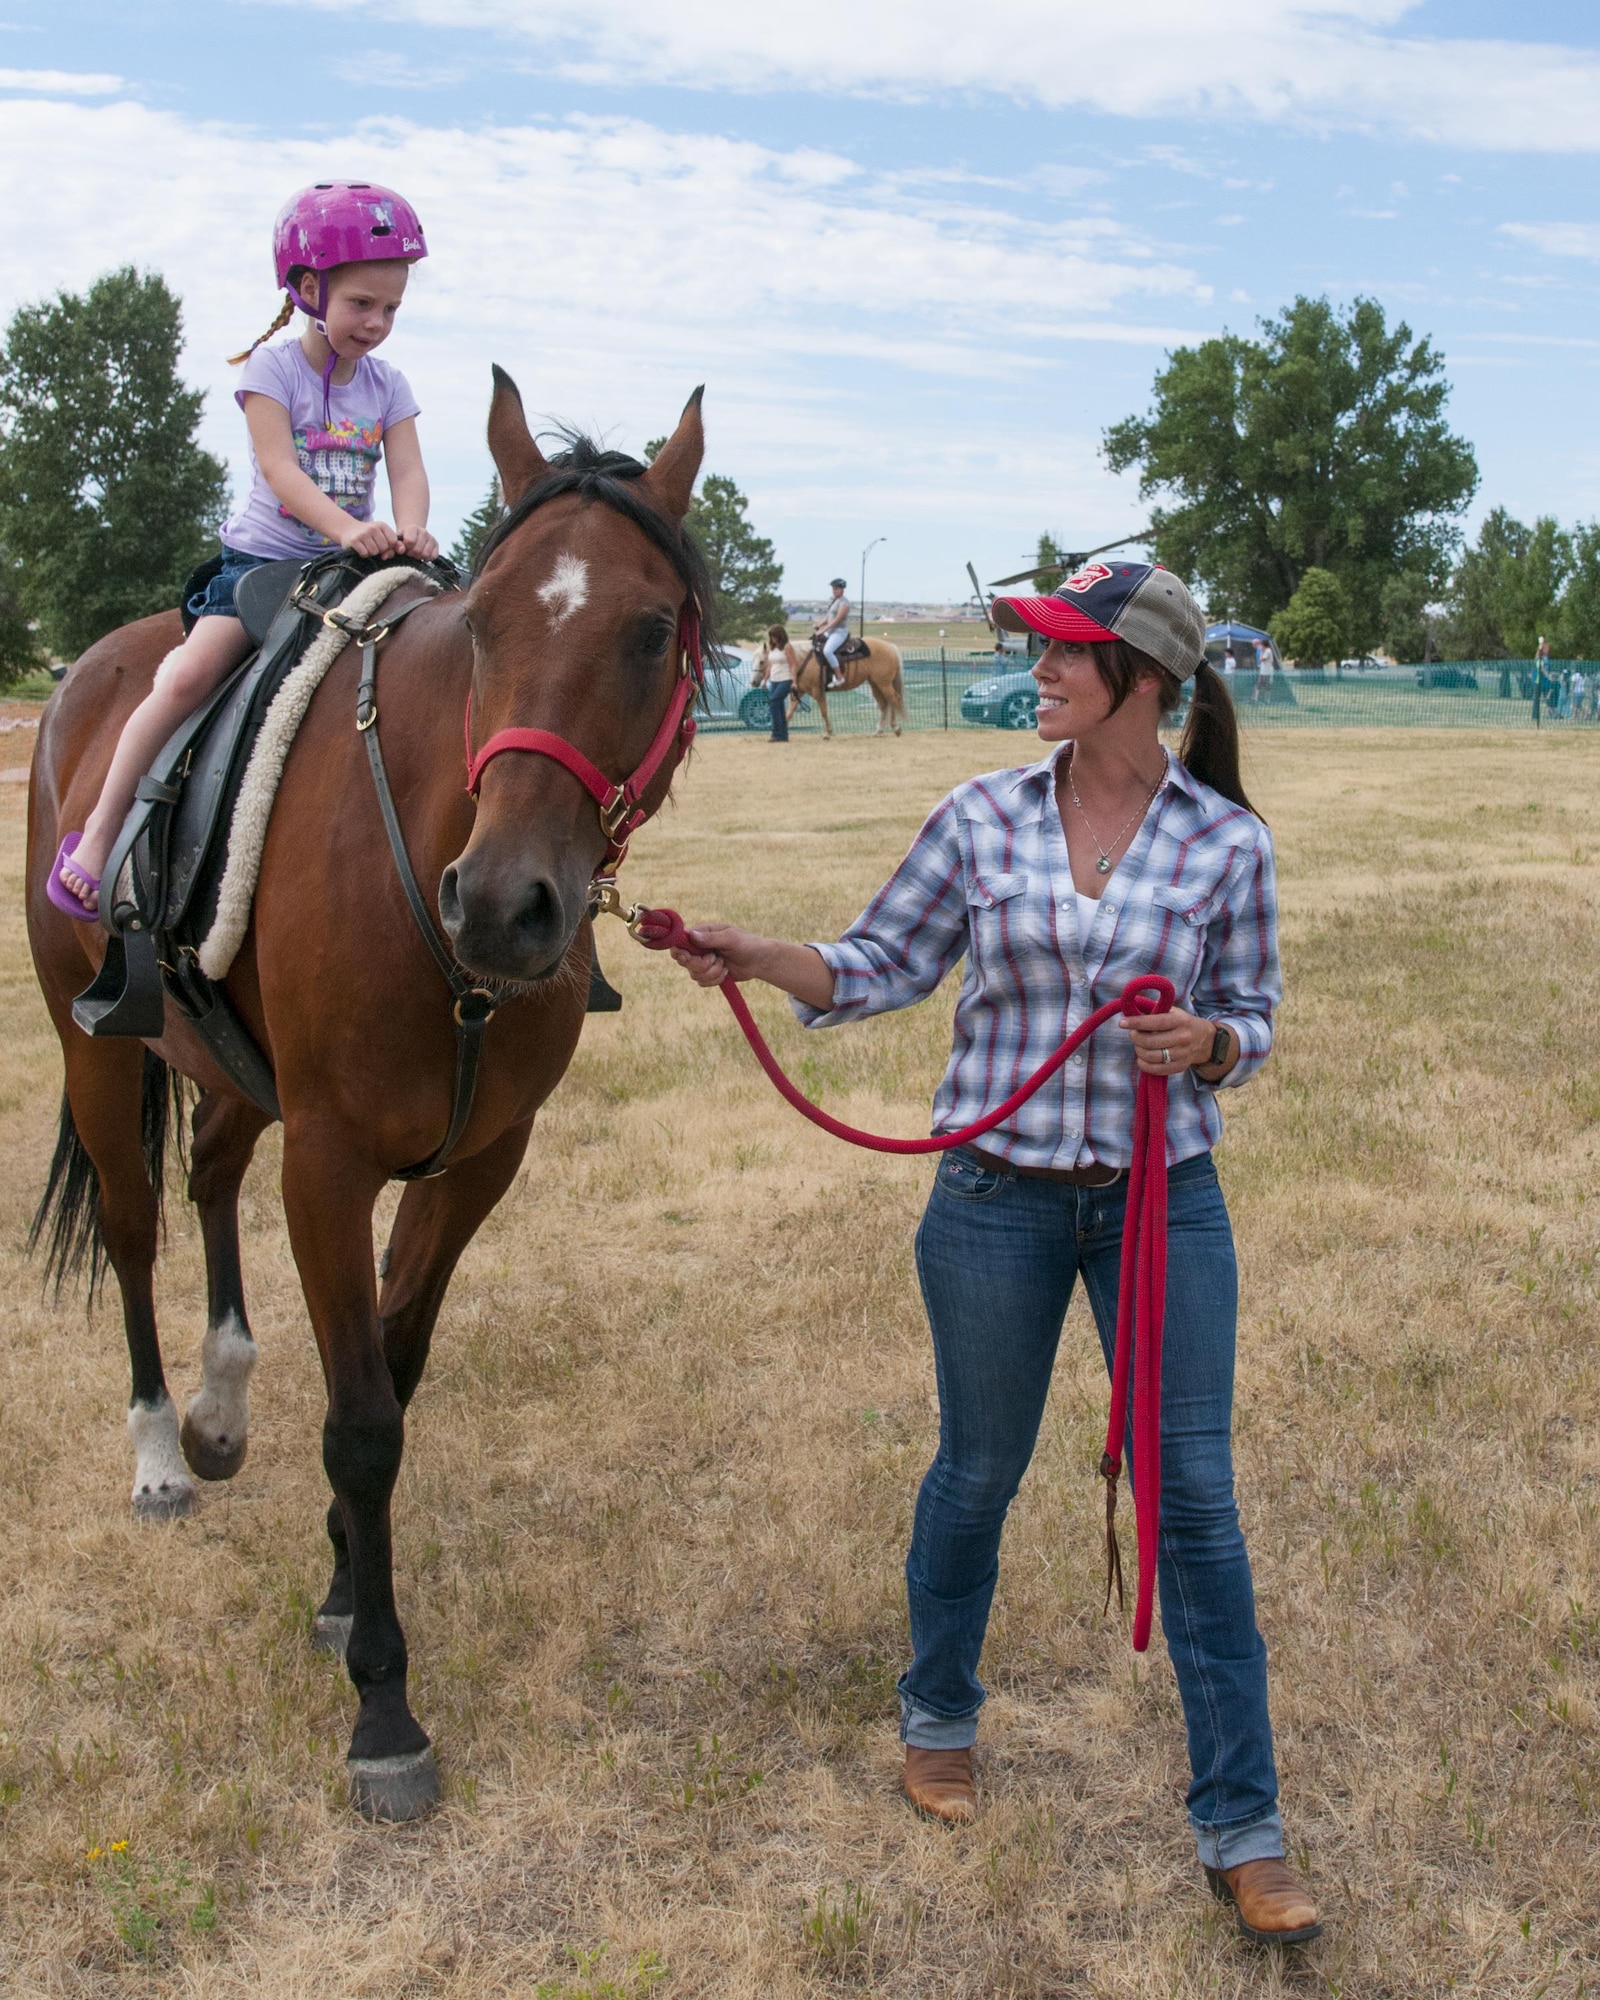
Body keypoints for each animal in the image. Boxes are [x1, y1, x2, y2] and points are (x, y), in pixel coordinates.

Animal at [23, 376, 712, 1832]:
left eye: (648, 631)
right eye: (487, 620)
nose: (505, 906)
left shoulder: (475, 1164)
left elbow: (395, 1373)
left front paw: (345, 1582)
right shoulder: (330, 1166)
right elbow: (359, 1426)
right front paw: (384, 1707)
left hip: (233, 1073)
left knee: (211, 1172)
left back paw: (222, 1405)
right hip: (94, 1045)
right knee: (132, 1225)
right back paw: (161, 1448)